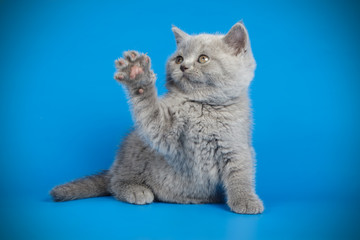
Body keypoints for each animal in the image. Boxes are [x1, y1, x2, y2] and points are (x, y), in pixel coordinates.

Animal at [50, 21, 264, 215]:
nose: (184, 67)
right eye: (178, 59)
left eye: (203, 59)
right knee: (114, 183)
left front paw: (245, 200)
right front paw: (137, 75)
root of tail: (114, 166)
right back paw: (136, 190)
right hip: (135, 149)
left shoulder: (236, 145)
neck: (201, 105)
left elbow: (241, 174)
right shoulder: (167, 133)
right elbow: (151, 113)